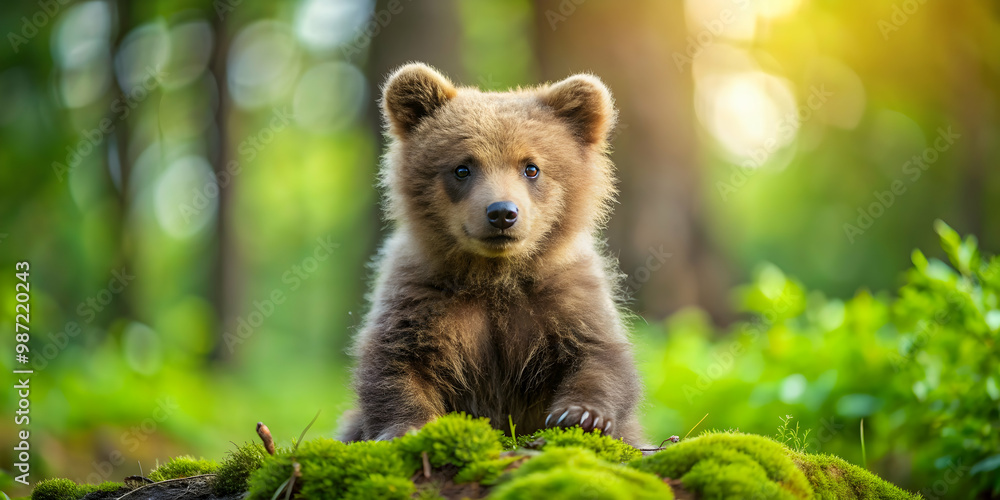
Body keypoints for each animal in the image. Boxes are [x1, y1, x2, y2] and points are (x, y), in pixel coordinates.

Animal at [339, 62, 643, 445]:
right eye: (462, 168)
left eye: (531, 167)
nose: (501, 212)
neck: (494, 275)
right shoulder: (420, 294)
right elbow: (395, 360)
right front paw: (406, 427)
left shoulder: (564, 296)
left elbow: (599, 354)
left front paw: (582, 414)